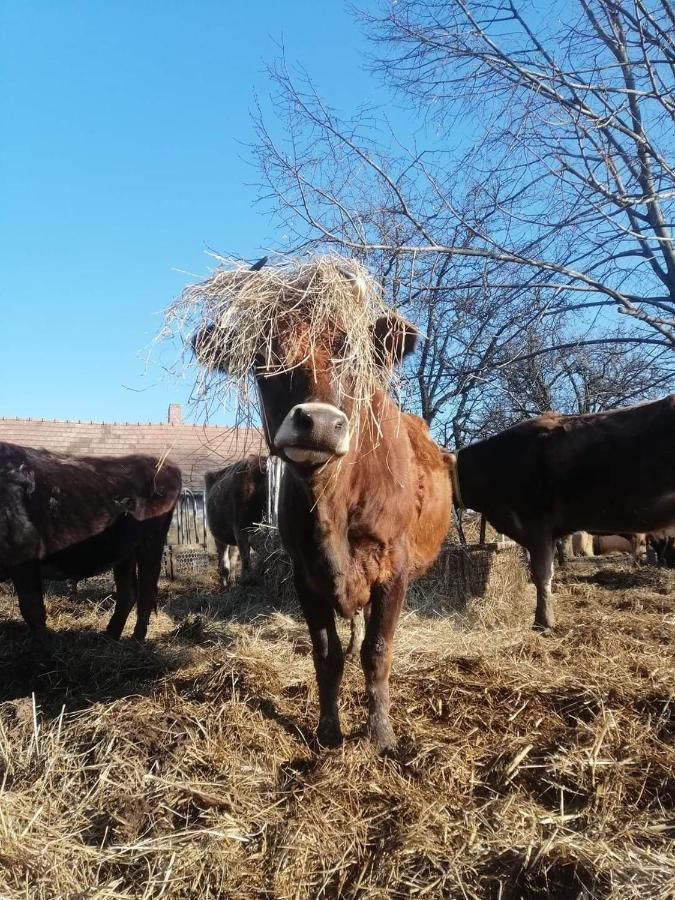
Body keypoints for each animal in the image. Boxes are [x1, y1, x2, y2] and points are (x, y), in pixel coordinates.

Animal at [0, 442, 182, 648]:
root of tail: (166, 465)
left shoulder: (24, 555)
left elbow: (32, 608)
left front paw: (45, 648)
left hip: (151, 544)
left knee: (146, 589)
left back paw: (136, 640)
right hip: (125, 552)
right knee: (127, 593)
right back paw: (108, 636)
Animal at [205, 454, 268, 588]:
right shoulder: (240, 528)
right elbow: (245, 557)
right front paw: (246, 581)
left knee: (232, 558)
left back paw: (232, 581)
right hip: (220, 535)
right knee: (225, 561)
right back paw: (227, 582)